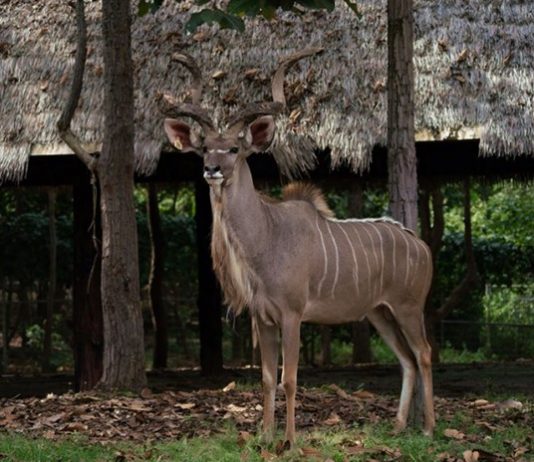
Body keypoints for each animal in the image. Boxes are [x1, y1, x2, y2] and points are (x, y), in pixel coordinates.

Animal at [162, 49, 435, 447]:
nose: (212, 169)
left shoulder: (292, 315)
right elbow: (265, 380)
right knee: (407, 359)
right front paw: (264, 437)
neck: (267, 236)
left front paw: (288, 441)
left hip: (408, 307)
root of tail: (422, 246)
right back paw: (399, 426)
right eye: (204, 149)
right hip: (379, 313)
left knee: (424, 354)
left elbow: (288, 379)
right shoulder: (262, 319)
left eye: (234, 149)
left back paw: (429, 428)